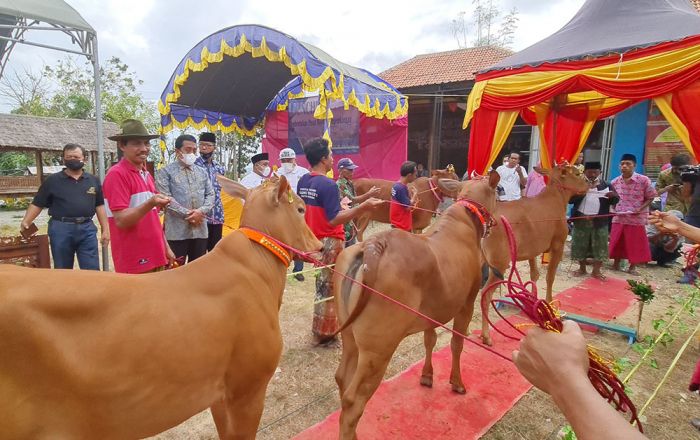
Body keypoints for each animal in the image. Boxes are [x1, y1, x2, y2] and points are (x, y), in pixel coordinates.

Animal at [332, 173, 498, 440]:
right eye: (499, 192)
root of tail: (374, 245)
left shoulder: (433, 309)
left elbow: (430, 340)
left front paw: (427, 376)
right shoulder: (467, 302)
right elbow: (457, 344)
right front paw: (457, 382)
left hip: (349, 335)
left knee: (342, 379)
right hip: (378, 350)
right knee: (353, 400)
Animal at [478, 163, 588, 346]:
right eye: (578, 173)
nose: (590, 182)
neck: (555, 199)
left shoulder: (532, 250)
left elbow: (534, 274)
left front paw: (533, 304)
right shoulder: (557, 245)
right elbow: (550, 277)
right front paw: (550, 305)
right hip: (499, 264)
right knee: (485, 295)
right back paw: (486, 335)